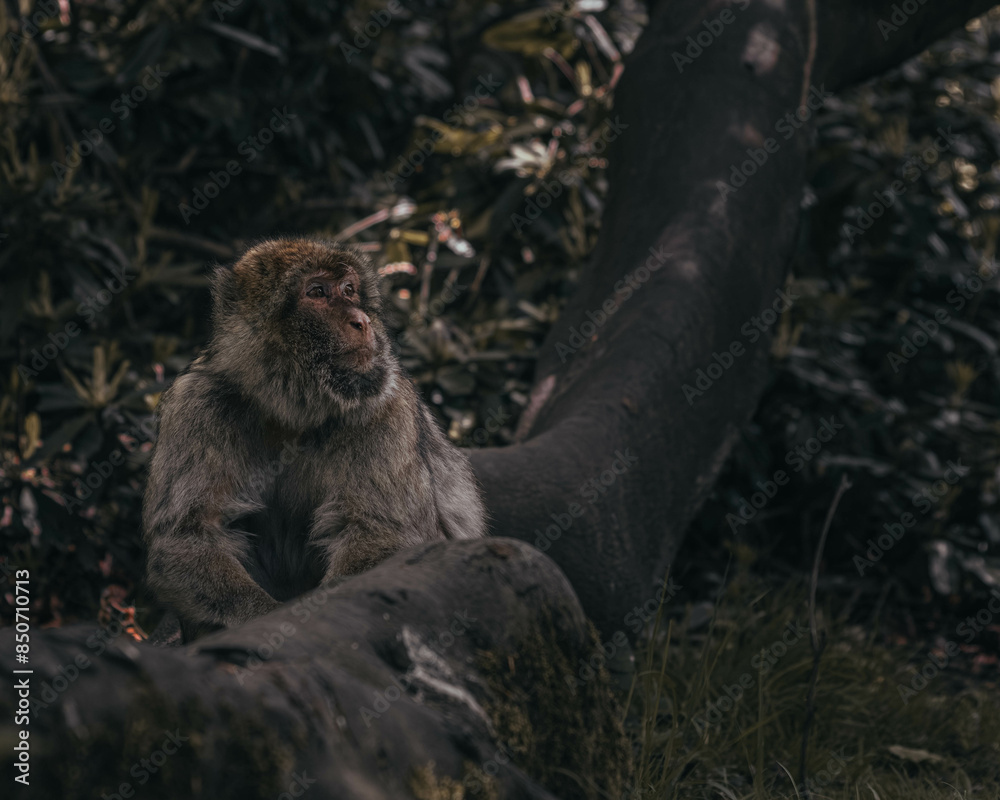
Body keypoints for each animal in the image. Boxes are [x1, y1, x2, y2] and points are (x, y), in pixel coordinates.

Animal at [142, 238, 487, 641]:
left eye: (349, 289)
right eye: (317, 292)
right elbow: (188, 535)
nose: (361, 320)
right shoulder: (195, 403)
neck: (293, 411)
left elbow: (383, 534)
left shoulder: (387, 405)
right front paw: (262, 619)